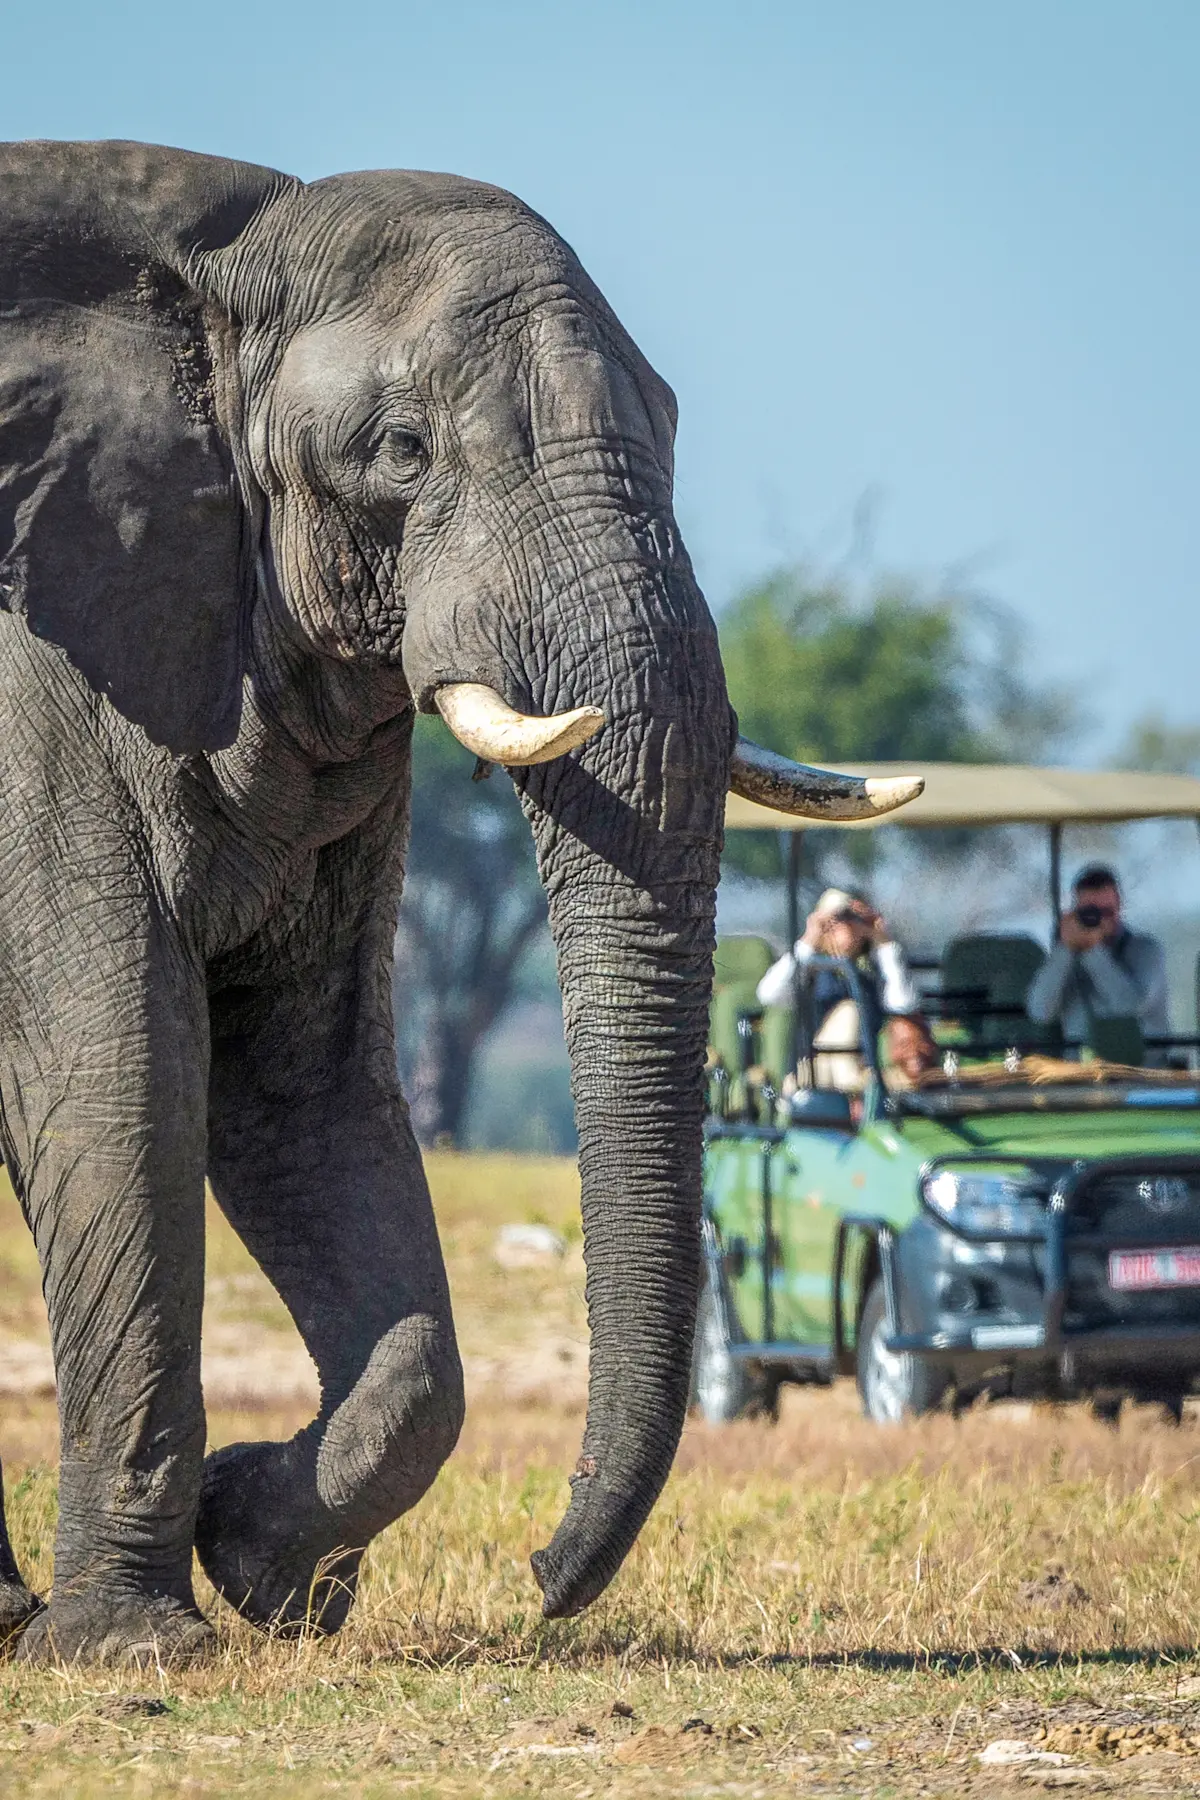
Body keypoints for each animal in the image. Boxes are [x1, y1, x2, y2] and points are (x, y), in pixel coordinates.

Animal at [0, 139, 919, 1664]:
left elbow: (302, 1084)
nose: (544, 1578)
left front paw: (265, 1563)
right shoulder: (33, 689)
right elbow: (115, 1063)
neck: (215, 257)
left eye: (673, 426)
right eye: (403, 453)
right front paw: (136, 1648)